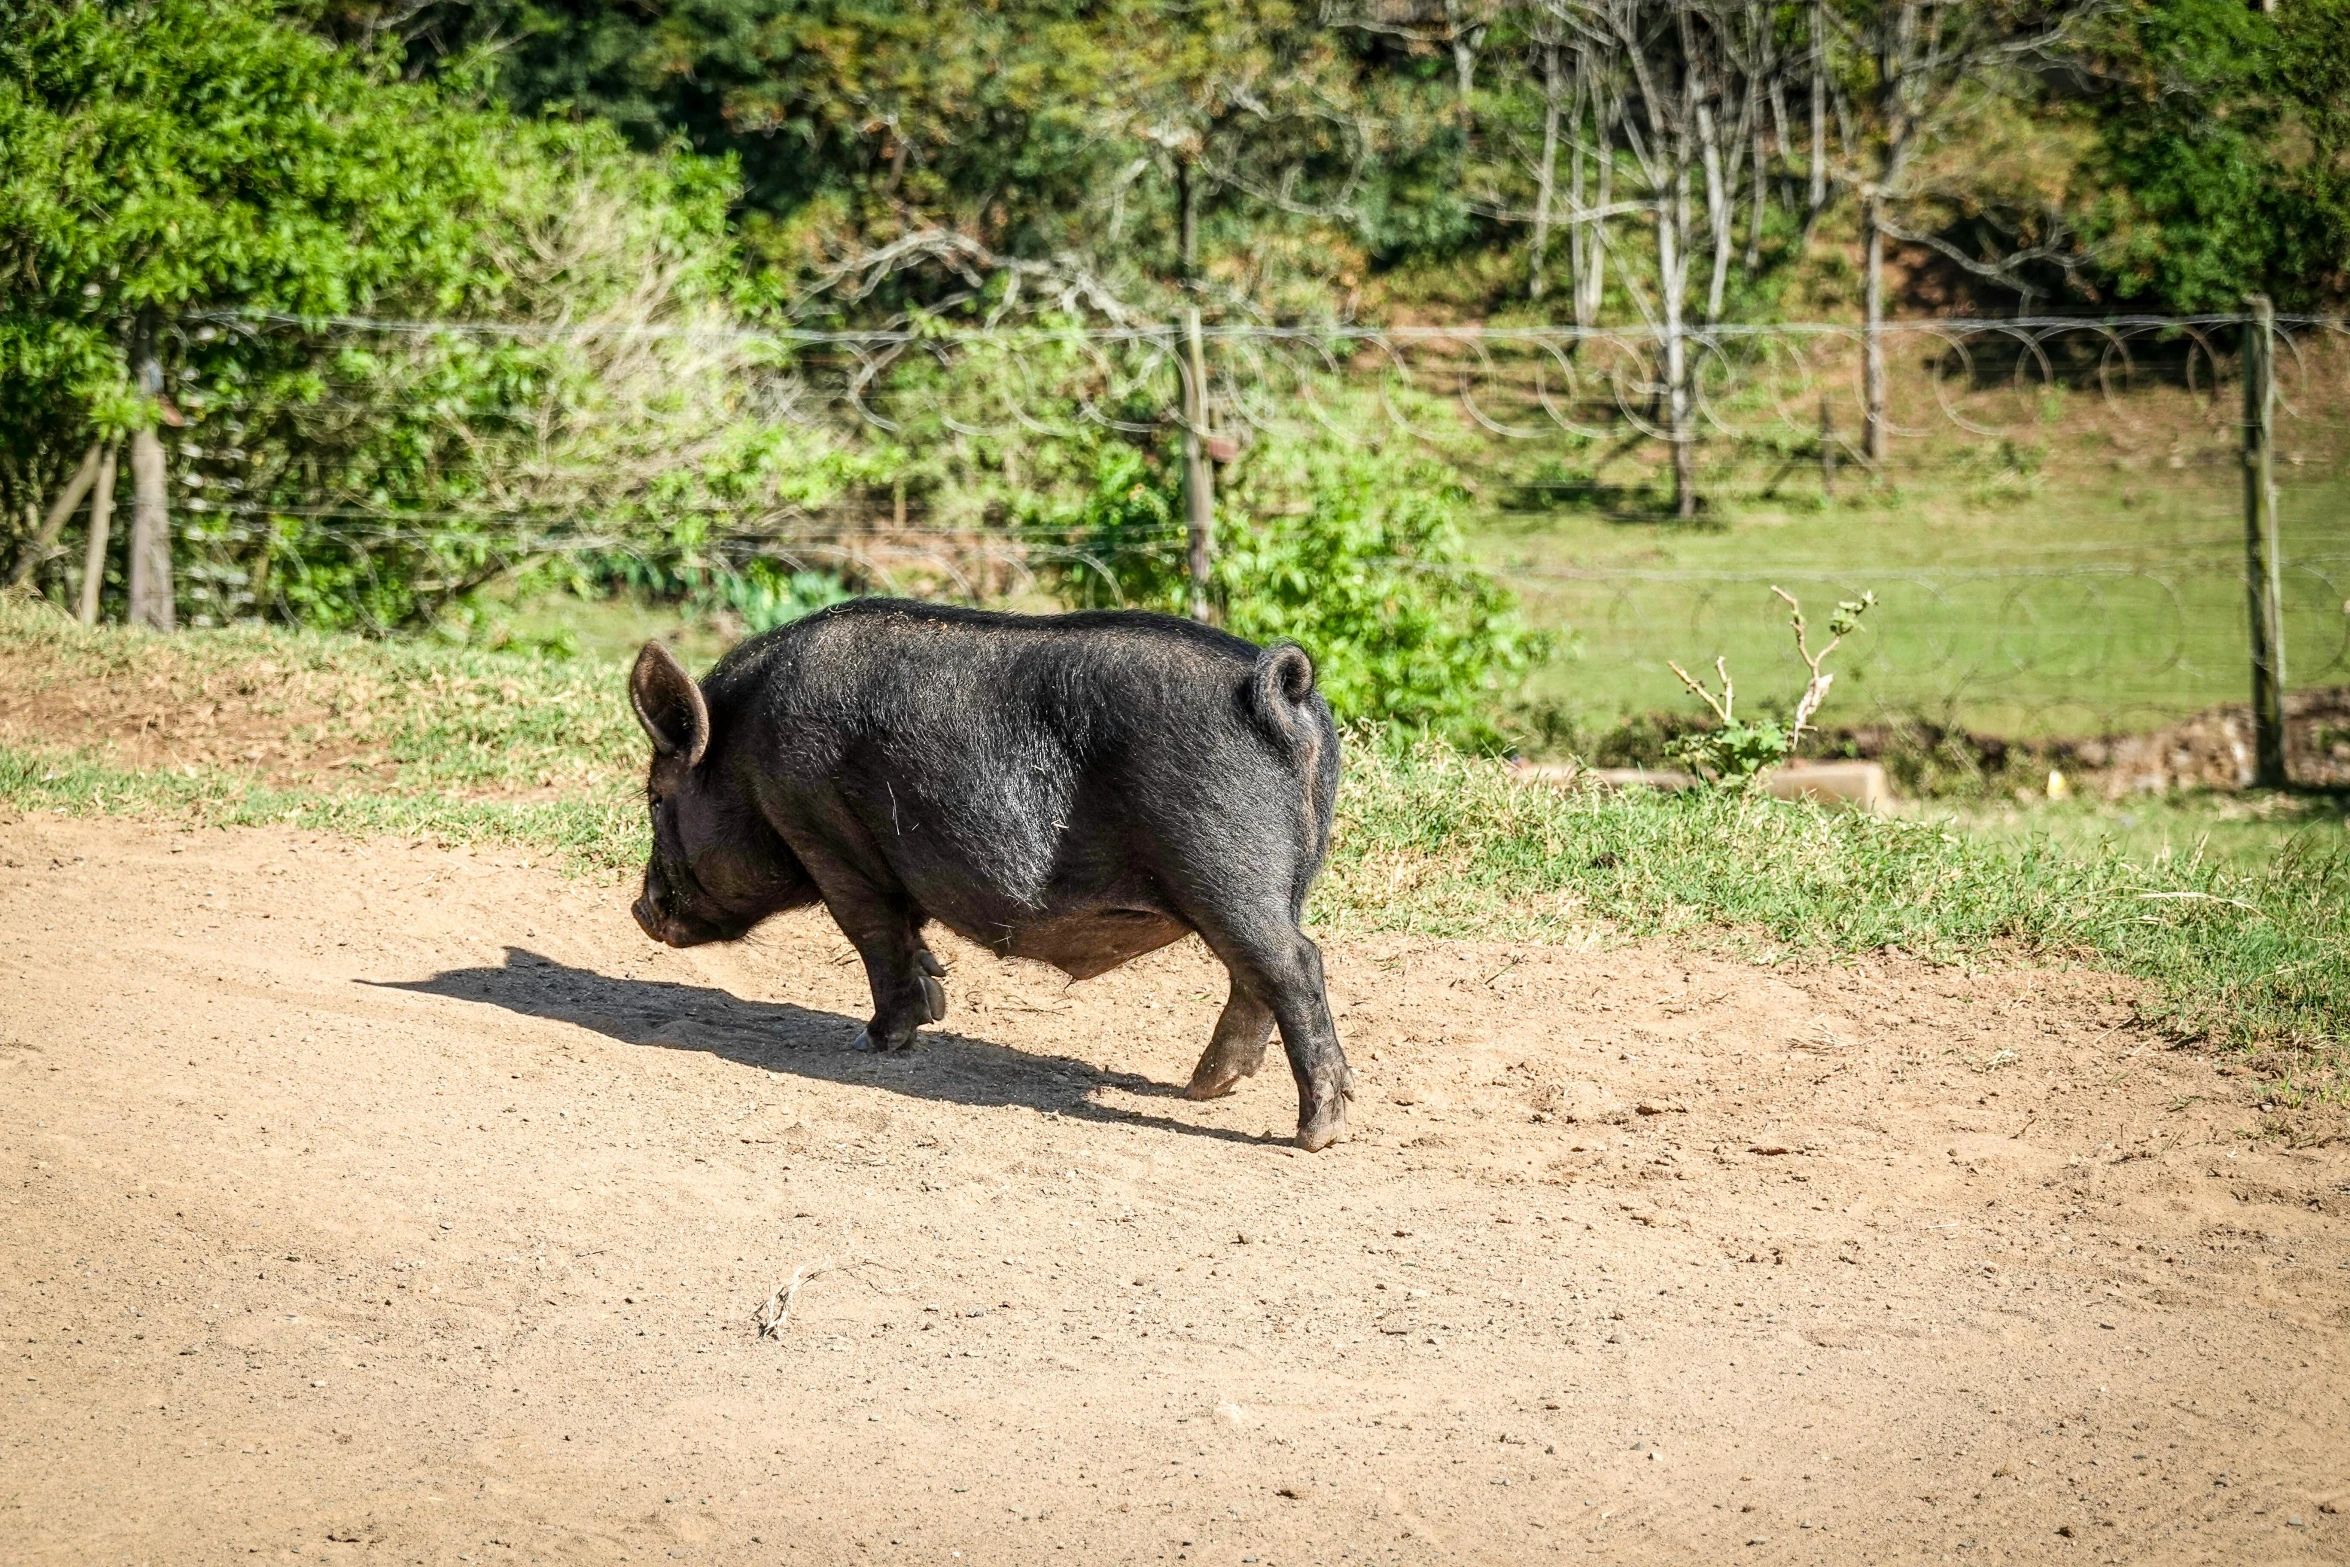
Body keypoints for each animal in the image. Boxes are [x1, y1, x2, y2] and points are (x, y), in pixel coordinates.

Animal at [625, 601, 1363, 1151]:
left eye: (656, 798)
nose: (640, 910)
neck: (743, 754)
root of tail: (1281, 692)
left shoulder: (825, 836)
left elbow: (875, 937)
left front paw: (872, 1041)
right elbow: (907, 940)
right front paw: (935, 1002)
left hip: (1223, 865)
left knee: (1293, 963)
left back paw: (1313, 1133)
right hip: (1263, 882)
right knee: (1258, 972)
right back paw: (1203, 1087)